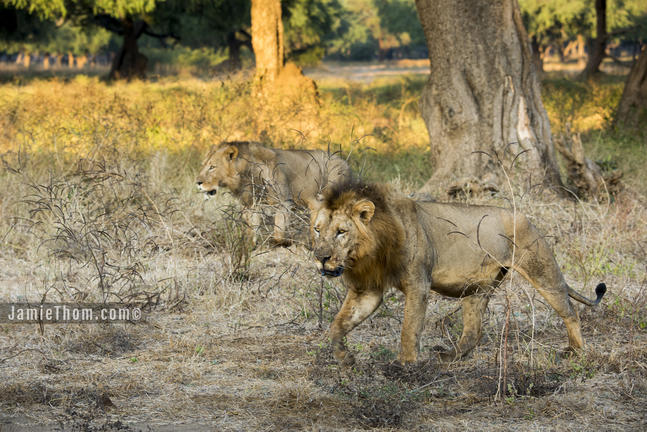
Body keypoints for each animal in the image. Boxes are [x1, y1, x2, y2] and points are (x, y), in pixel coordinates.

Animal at [196, 141, 351, 246]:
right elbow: (252, 228)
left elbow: (278, 232)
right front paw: (250, 246)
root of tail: (344, 162)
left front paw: (284, 242)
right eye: (203, 165)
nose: (198, 182)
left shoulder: (283, 202)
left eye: (212, 167)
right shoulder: (251, 205)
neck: (244, 177)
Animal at [309, 181, 606, 365]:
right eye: (317, 229)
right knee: (473, 332)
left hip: (542, 270)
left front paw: (405, 364)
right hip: (477, 289)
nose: (321, 258)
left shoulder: (418, 283)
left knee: (571, 312)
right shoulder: (367, 290)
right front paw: (344, 358)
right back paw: (449, 357)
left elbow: (409, 328)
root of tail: (527, 218)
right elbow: (338, 324)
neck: (370, 251)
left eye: (341, 231)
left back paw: (575, 351)